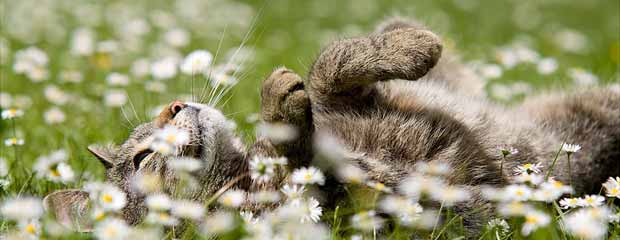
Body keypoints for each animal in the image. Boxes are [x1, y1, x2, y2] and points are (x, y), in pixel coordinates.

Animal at [44, 17, 620, 232]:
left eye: (156, 121)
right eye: (143, 159)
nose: (174, 105)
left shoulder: (349, 102)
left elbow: (331, 65)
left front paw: (412, 43)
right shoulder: (362, 206)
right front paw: (280, 109)